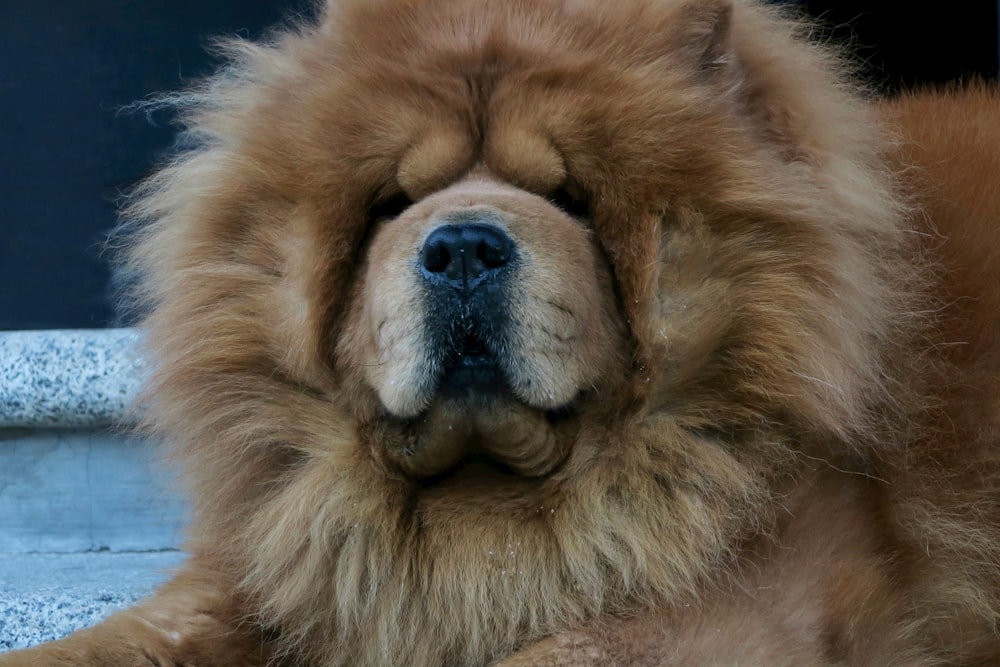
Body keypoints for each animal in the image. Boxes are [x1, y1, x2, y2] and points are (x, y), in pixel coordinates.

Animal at [3, 0, 996, 664]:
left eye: (572, 199)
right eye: (392, 203)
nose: (464, 248)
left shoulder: (734, 604)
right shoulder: (269, 565)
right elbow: (115, 638)